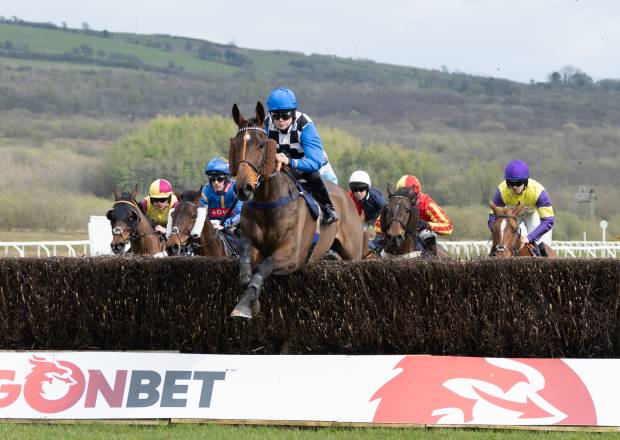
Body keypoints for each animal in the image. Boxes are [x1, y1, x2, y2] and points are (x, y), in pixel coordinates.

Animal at [228, 101, 364, 318]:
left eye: (261, 144)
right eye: (236, 144)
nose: (243, 187)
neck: (268, 201)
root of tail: (346, 196)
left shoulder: (292, 254)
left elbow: (264, 266)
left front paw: (245, 305)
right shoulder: (251, 243)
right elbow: (245, 265)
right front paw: (249, 301)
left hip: (353, 254)